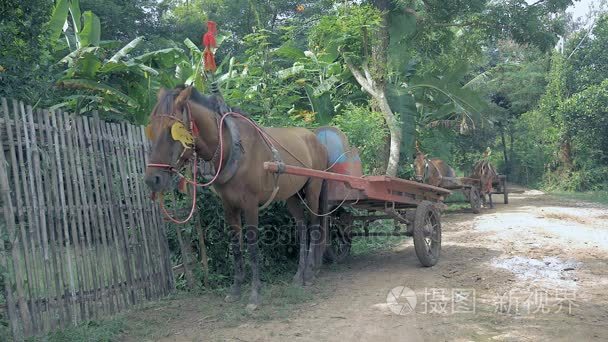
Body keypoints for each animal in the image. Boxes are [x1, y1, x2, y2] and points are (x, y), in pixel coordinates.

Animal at [144, 87, 328, 312]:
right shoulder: (229, 206)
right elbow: (235, 246)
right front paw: (236, 289)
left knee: (314, 226)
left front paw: (255, 294)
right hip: (291, 194)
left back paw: (309, 274)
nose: (152, 179)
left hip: (313, 189)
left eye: (171, 130)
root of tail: (315, 138)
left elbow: (252, 246)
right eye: (152, 129)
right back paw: (298, 275)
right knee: (301, 227)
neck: (232, 146)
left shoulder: (250, 204)